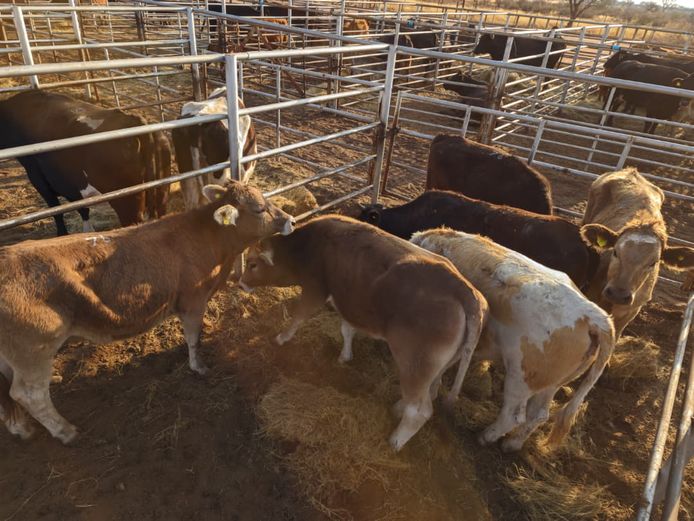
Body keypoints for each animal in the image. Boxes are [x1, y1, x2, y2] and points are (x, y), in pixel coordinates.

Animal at [0, 90, 172, 236]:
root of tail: (134, 121)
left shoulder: (38, 176)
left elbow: (58, 208)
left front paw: (64, 234)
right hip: (161, 196)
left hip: (128, 203)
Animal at [0, 181, 294, 443]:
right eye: (259, 208)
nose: (291, 219)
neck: (208, 240)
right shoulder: (193, 300)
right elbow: (194, 338)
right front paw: (198, 366)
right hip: (34, 350)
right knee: (29, 394)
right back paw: (65, 431)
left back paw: (21, 427)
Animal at [238, 215, 488, 451]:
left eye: (252, 264)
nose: (240, 284)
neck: (309, 244)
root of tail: (466, 291)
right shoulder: (347, 301)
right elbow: (347, 329)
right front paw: (344, 356)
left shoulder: (316, 288)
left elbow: (299, 316)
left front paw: (281, 338)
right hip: (440, 366)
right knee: (431, 391)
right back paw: (398, 408)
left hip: (415, 364)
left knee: (420, 410)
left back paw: (396, 441)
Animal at [411, 228, 615, 452]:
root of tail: (594, 315)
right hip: (551, 384)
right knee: (539, 415)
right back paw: (512, 443)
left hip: (521, 377)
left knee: (513, 416)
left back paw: (486, 437)